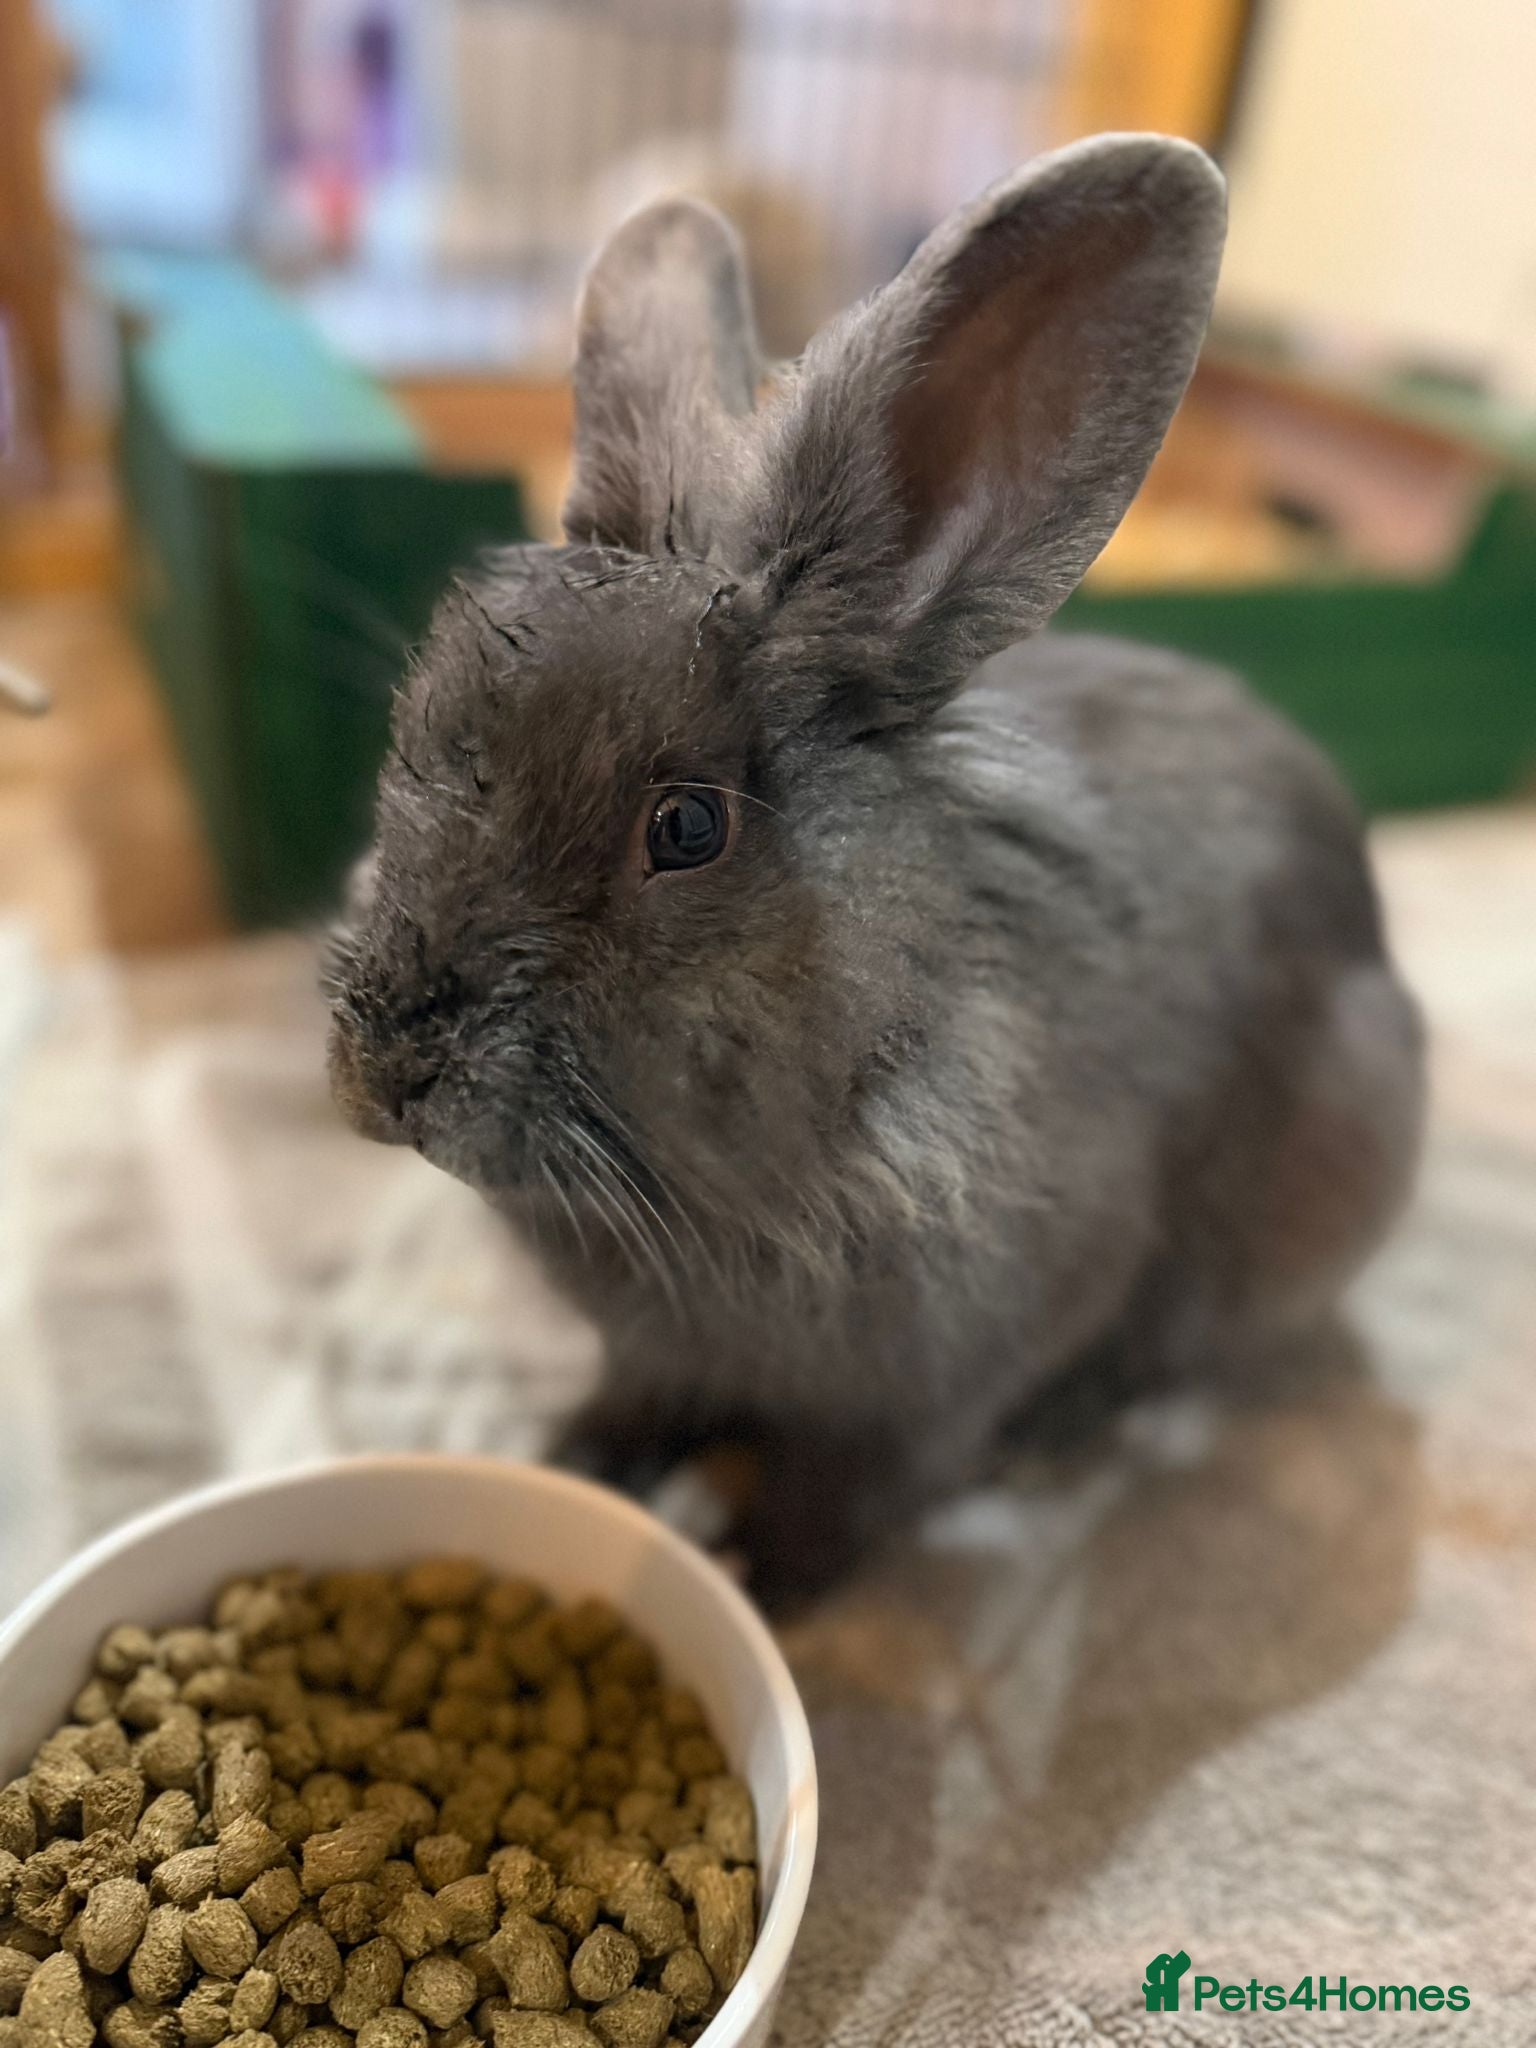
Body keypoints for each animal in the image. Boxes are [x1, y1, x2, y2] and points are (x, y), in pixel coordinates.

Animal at [326, 135, 1425, 1605]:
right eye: (418, 728)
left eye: (688, 829)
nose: (387, 1067)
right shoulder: (658, 1354)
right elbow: (635, 1398)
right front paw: (574, 1462)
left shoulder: (950, 1375)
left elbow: (857, 1487)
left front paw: (752, 1566)